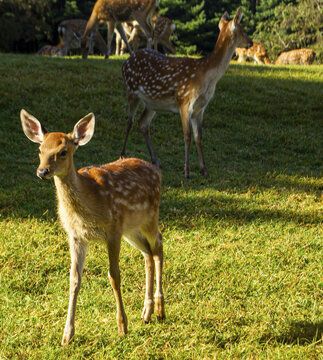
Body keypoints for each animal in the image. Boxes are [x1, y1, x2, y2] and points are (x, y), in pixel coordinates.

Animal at [20, 109, 166, 346]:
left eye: (63, 152)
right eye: (40, 150)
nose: (42, 171)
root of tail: (157, 171)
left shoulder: (113, 230)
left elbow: (114, 276)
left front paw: (122, 327)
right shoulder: (76, 236)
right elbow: (74, 279)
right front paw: (67, 335)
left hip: (150, 216)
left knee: (159, 247)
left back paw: (161, 309)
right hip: (131, 229)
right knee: (147, 252)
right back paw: (147, 312)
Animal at [121, 7, 253, 179]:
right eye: (242, 30)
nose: (251, 42)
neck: (207, 76)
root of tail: (125, 63)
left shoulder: (200, 108)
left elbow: (199, 137)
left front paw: (204, 170)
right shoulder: (184, 101)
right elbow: (187, 136)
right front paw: (187, 171)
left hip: (152, 103)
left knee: (142, 123)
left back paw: (156, 161)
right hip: (131, 89)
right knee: (129, 121)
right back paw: (123, 155)